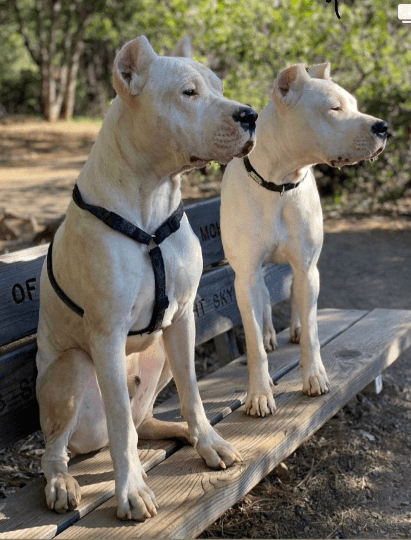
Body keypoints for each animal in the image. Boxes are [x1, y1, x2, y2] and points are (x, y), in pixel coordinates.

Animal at [37, 35, 260, 520]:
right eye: (189, 92)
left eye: (220, 88)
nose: (251, 115)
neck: (151, 197)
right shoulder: (106, 335)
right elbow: (121, 424)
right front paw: (131, 490)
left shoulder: (183, 320)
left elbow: (193, 392)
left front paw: (208, 440)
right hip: (72, 370)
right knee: (60, 447)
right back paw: (63, 481)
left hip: (158, 357)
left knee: (144, 420)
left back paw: (183, 434)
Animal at [222, 62, 386, 418]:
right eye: (335, 108)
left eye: (355, 105)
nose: (384, 127)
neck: (279, 182)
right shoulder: (246, 275)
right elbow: (253, 341)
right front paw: (258, 392)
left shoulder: (308, 266)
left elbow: (312, 330)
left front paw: (314, 376)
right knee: (264, 301)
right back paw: (270, 334)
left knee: (298, 298)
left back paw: (294, 328)